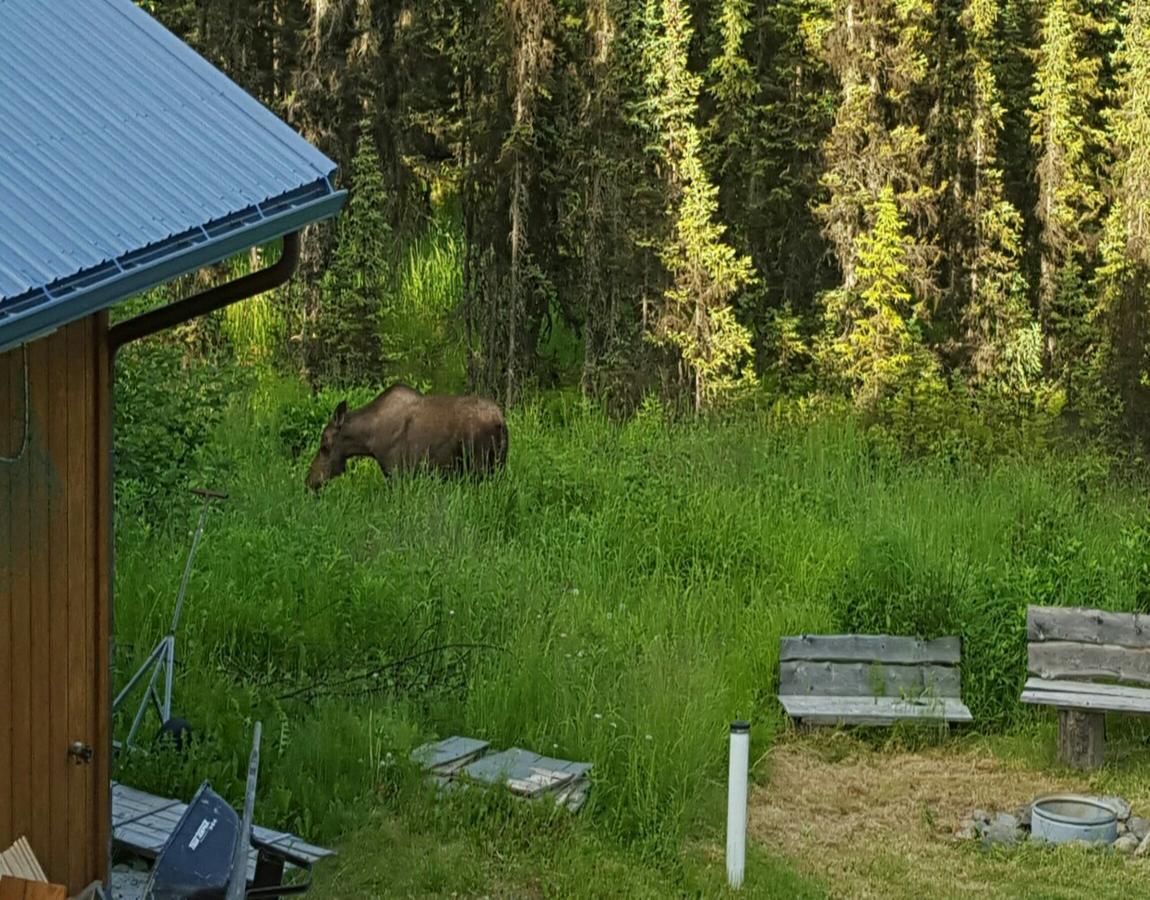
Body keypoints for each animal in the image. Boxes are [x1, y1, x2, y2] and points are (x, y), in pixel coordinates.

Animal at [305, 381, 508, 491]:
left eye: (324, 445)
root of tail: (500, 421)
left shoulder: (396, 472)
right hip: (498, 464)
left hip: (479, 467)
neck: (368, 441)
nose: (310, 480)